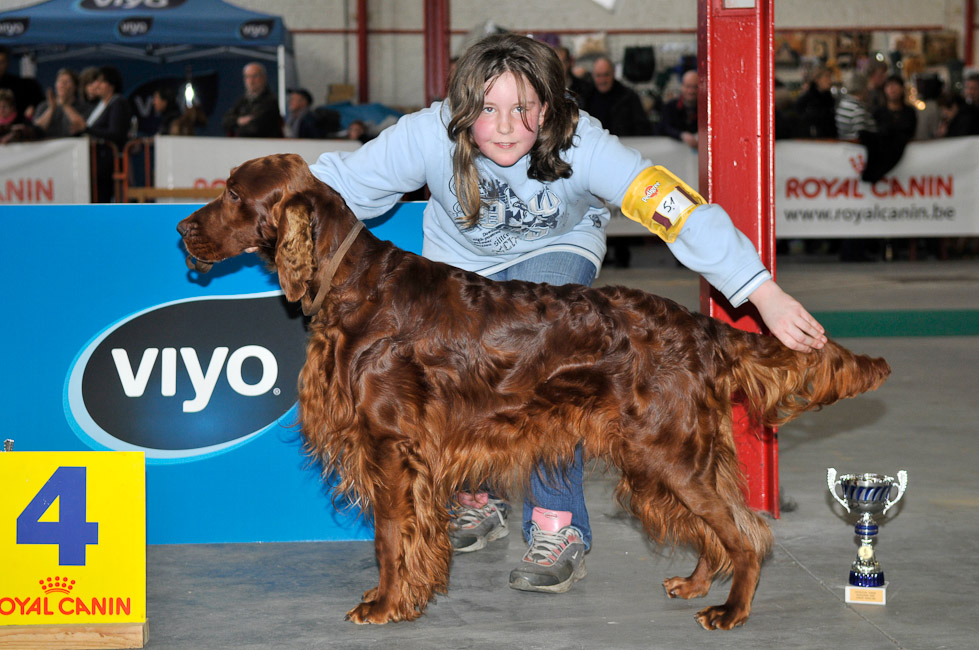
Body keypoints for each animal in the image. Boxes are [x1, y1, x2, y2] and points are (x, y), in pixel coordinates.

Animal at [178, 152, 896, 628]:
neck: (354, 287)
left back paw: (731, 611)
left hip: (668, 451)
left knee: (743, 533)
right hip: (668, 456)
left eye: (235, 194)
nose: (182, 230)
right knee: (716, 528)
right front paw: (410, 598)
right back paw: (697, 586)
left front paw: (384, 605)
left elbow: (387, 536)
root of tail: (700, 326)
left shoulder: (388, 445)